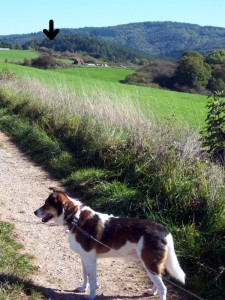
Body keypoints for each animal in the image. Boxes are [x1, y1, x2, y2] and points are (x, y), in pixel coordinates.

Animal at [33, 188, 185, 300]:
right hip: (149, 263)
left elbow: (92, 279)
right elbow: (85, 275)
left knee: (163, 288)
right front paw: (83, 288)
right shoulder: (84, 257)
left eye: (46, 205)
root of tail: (164, 230)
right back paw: (151, 291)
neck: (74, 217)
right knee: (158, 281)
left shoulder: (90, 259)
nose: (34, 212)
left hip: (150, 262)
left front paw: (91, 295)